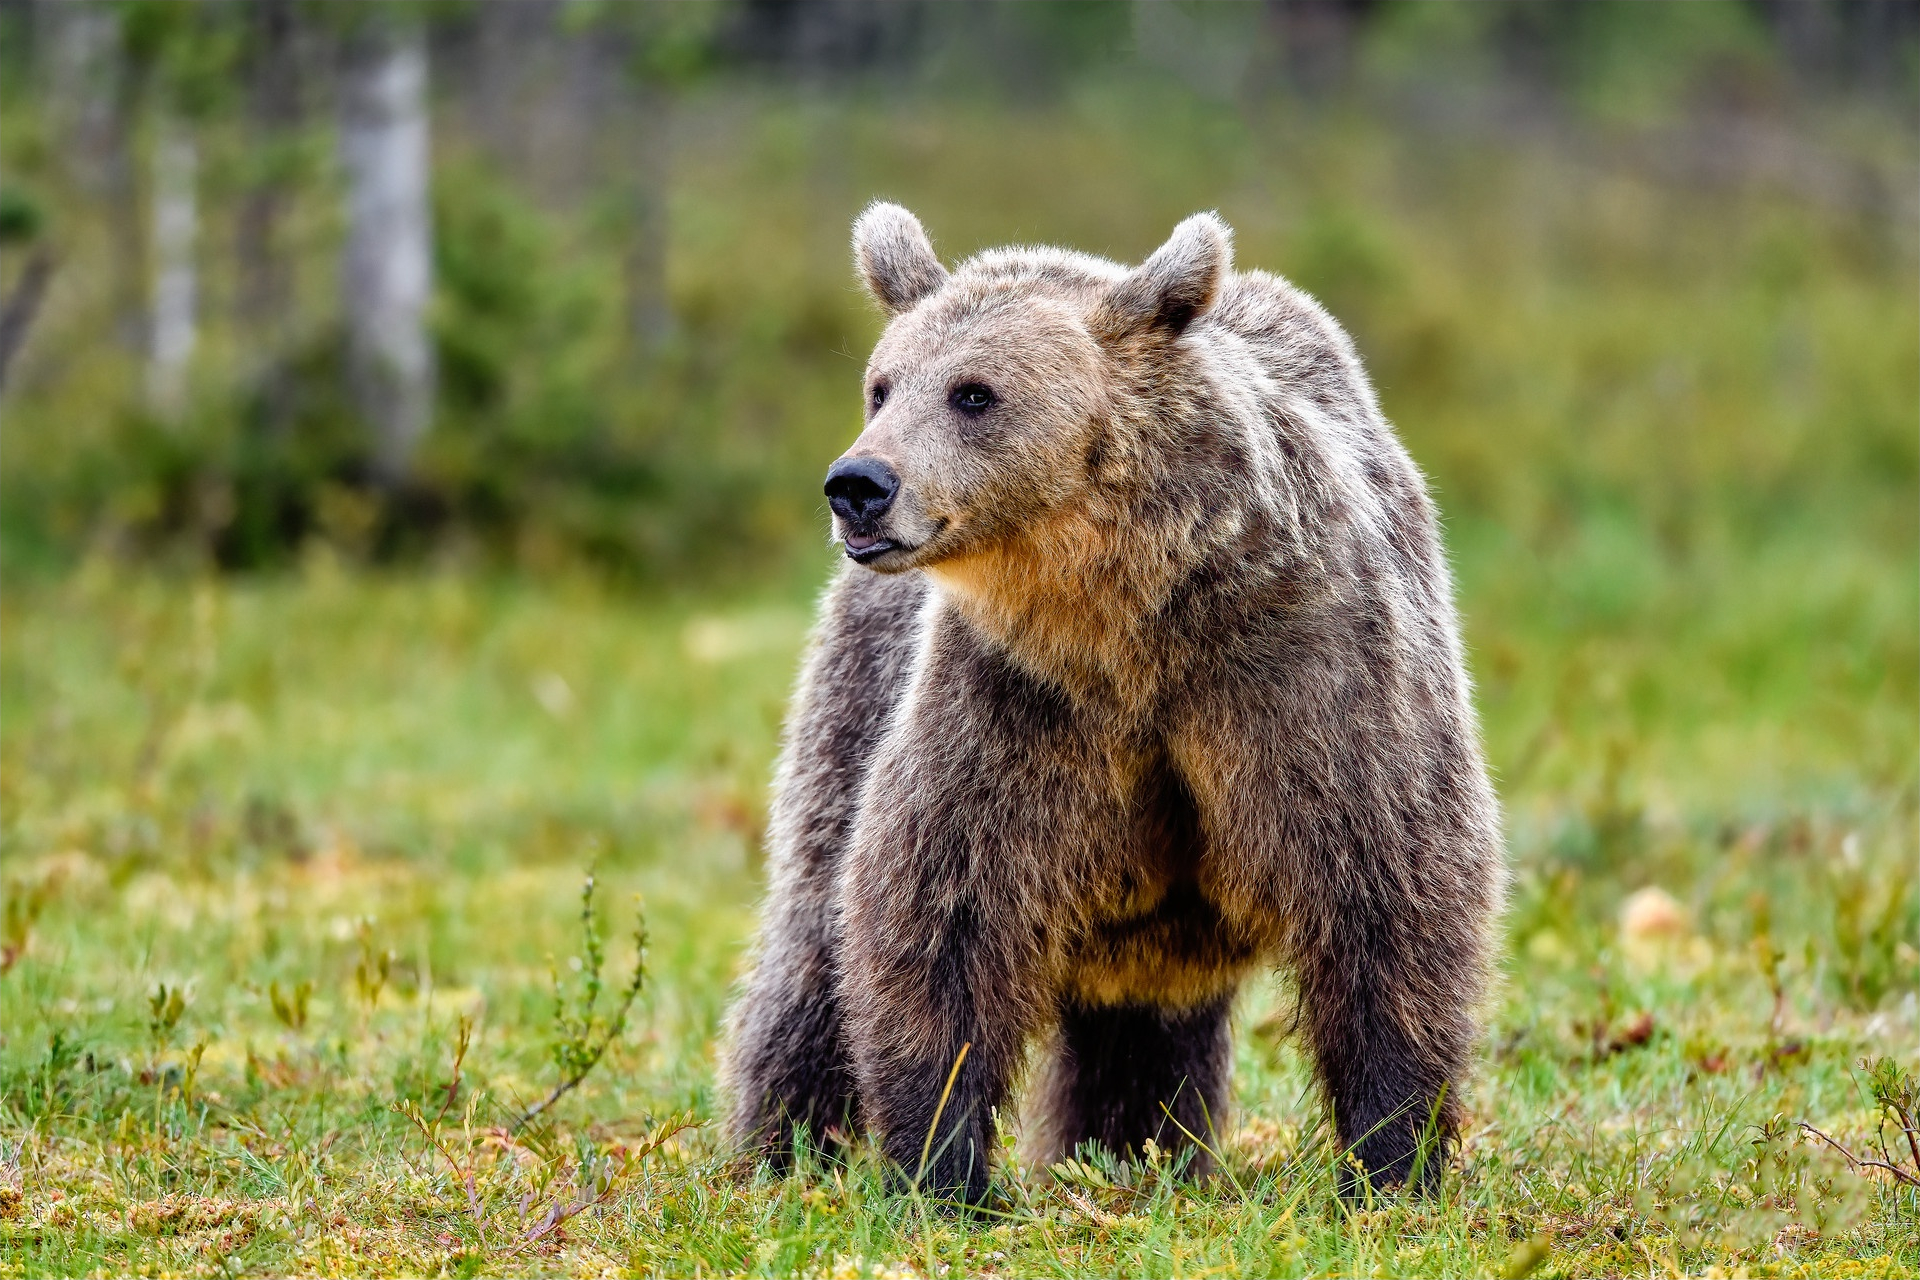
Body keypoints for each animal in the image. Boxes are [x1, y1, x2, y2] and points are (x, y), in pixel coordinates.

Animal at [721, 200, 1497, 1205]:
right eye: (882, 387)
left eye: (974, 393)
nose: (860, 485)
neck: (1125, 612)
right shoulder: (1016, 701)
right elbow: (940, 909)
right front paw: (943, 1170)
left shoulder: (1306, 673)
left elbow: (1387, 889)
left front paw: (1393, 1160)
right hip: (855, 695)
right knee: (813, 940)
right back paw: (778, 1155)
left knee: (1141, 1022)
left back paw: (1136, 1150)